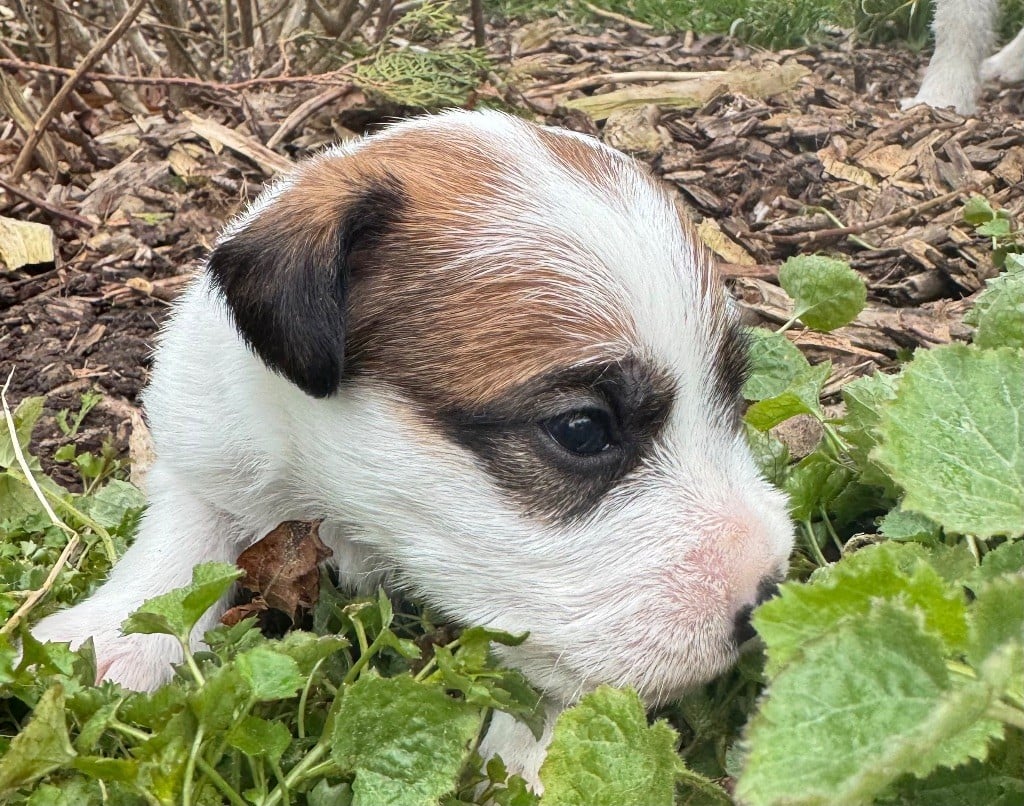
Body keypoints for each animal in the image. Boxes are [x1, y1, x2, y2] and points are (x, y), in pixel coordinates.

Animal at [32, 110, 794, 786]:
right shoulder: (207, 445)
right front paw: (116, 637)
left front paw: (529, 763)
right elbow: (178, 553)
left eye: (733, 392)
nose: (769, 596)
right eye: (581, 430)